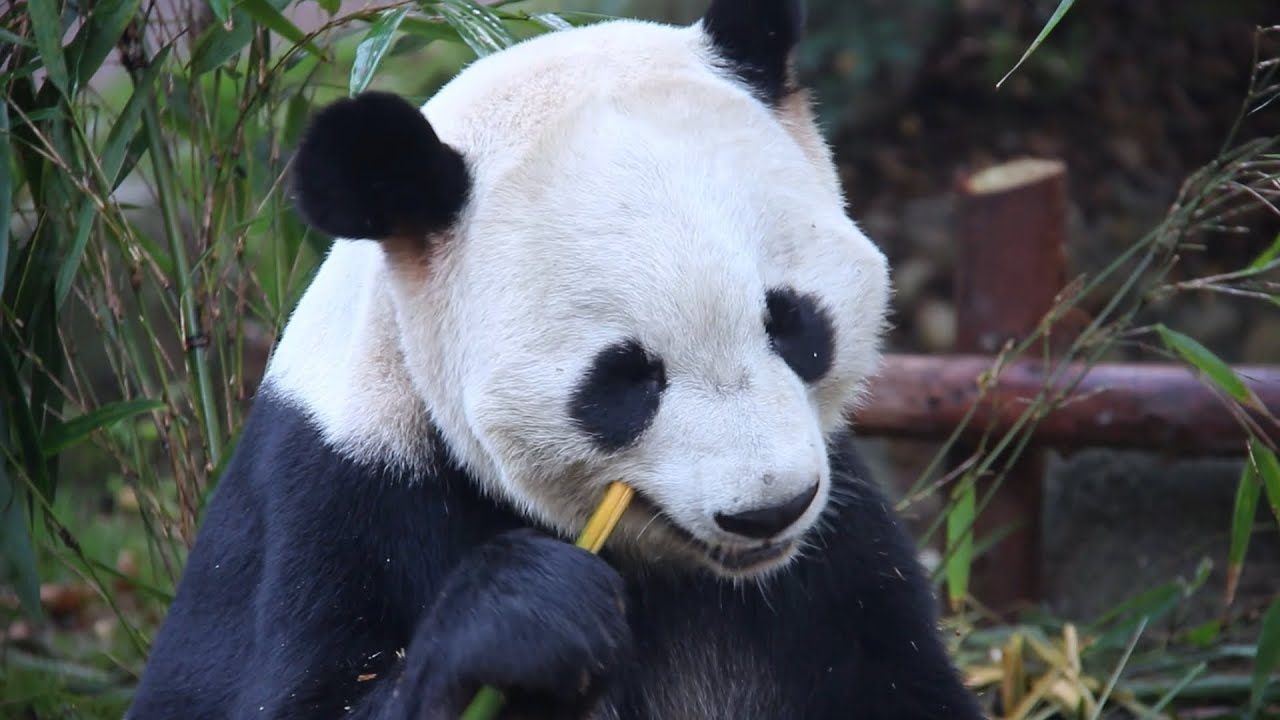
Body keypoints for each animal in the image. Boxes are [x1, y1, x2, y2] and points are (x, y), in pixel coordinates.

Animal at [127, 1, 986, 718]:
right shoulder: (341, 501)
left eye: (792, 322)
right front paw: (531, 614)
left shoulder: (838, 560)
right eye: (625, 378)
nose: (768, 509)